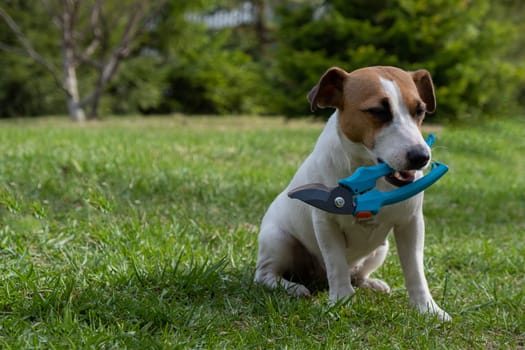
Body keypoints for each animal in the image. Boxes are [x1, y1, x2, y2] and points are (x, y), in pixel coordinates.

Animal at [254, 65, 450, 320]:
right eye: (377, 111)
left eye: (420, 110)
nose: (421, 156)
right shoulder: (326, 222)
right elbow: (336, 263)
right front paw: (341, 300)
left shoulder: (411, 223)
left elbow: (415, 269)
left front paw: (427, 308)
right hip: (278, 240)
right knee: (265, 274)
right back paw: (292, 287)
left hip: (380, 249)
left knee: (357, 274)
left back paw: (370, 282)